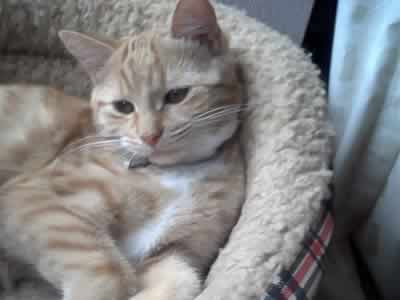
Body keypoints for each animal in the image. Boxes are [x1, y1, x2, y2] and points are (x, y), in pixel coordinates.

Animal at [0, 0, 245, 300]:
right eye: (124, 106)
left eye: (177, 95)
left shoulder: (177, 250)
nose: (150, 136)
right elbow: (103, 270)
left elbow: (182, 281)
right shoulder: (28, 197)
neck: (174, 173)